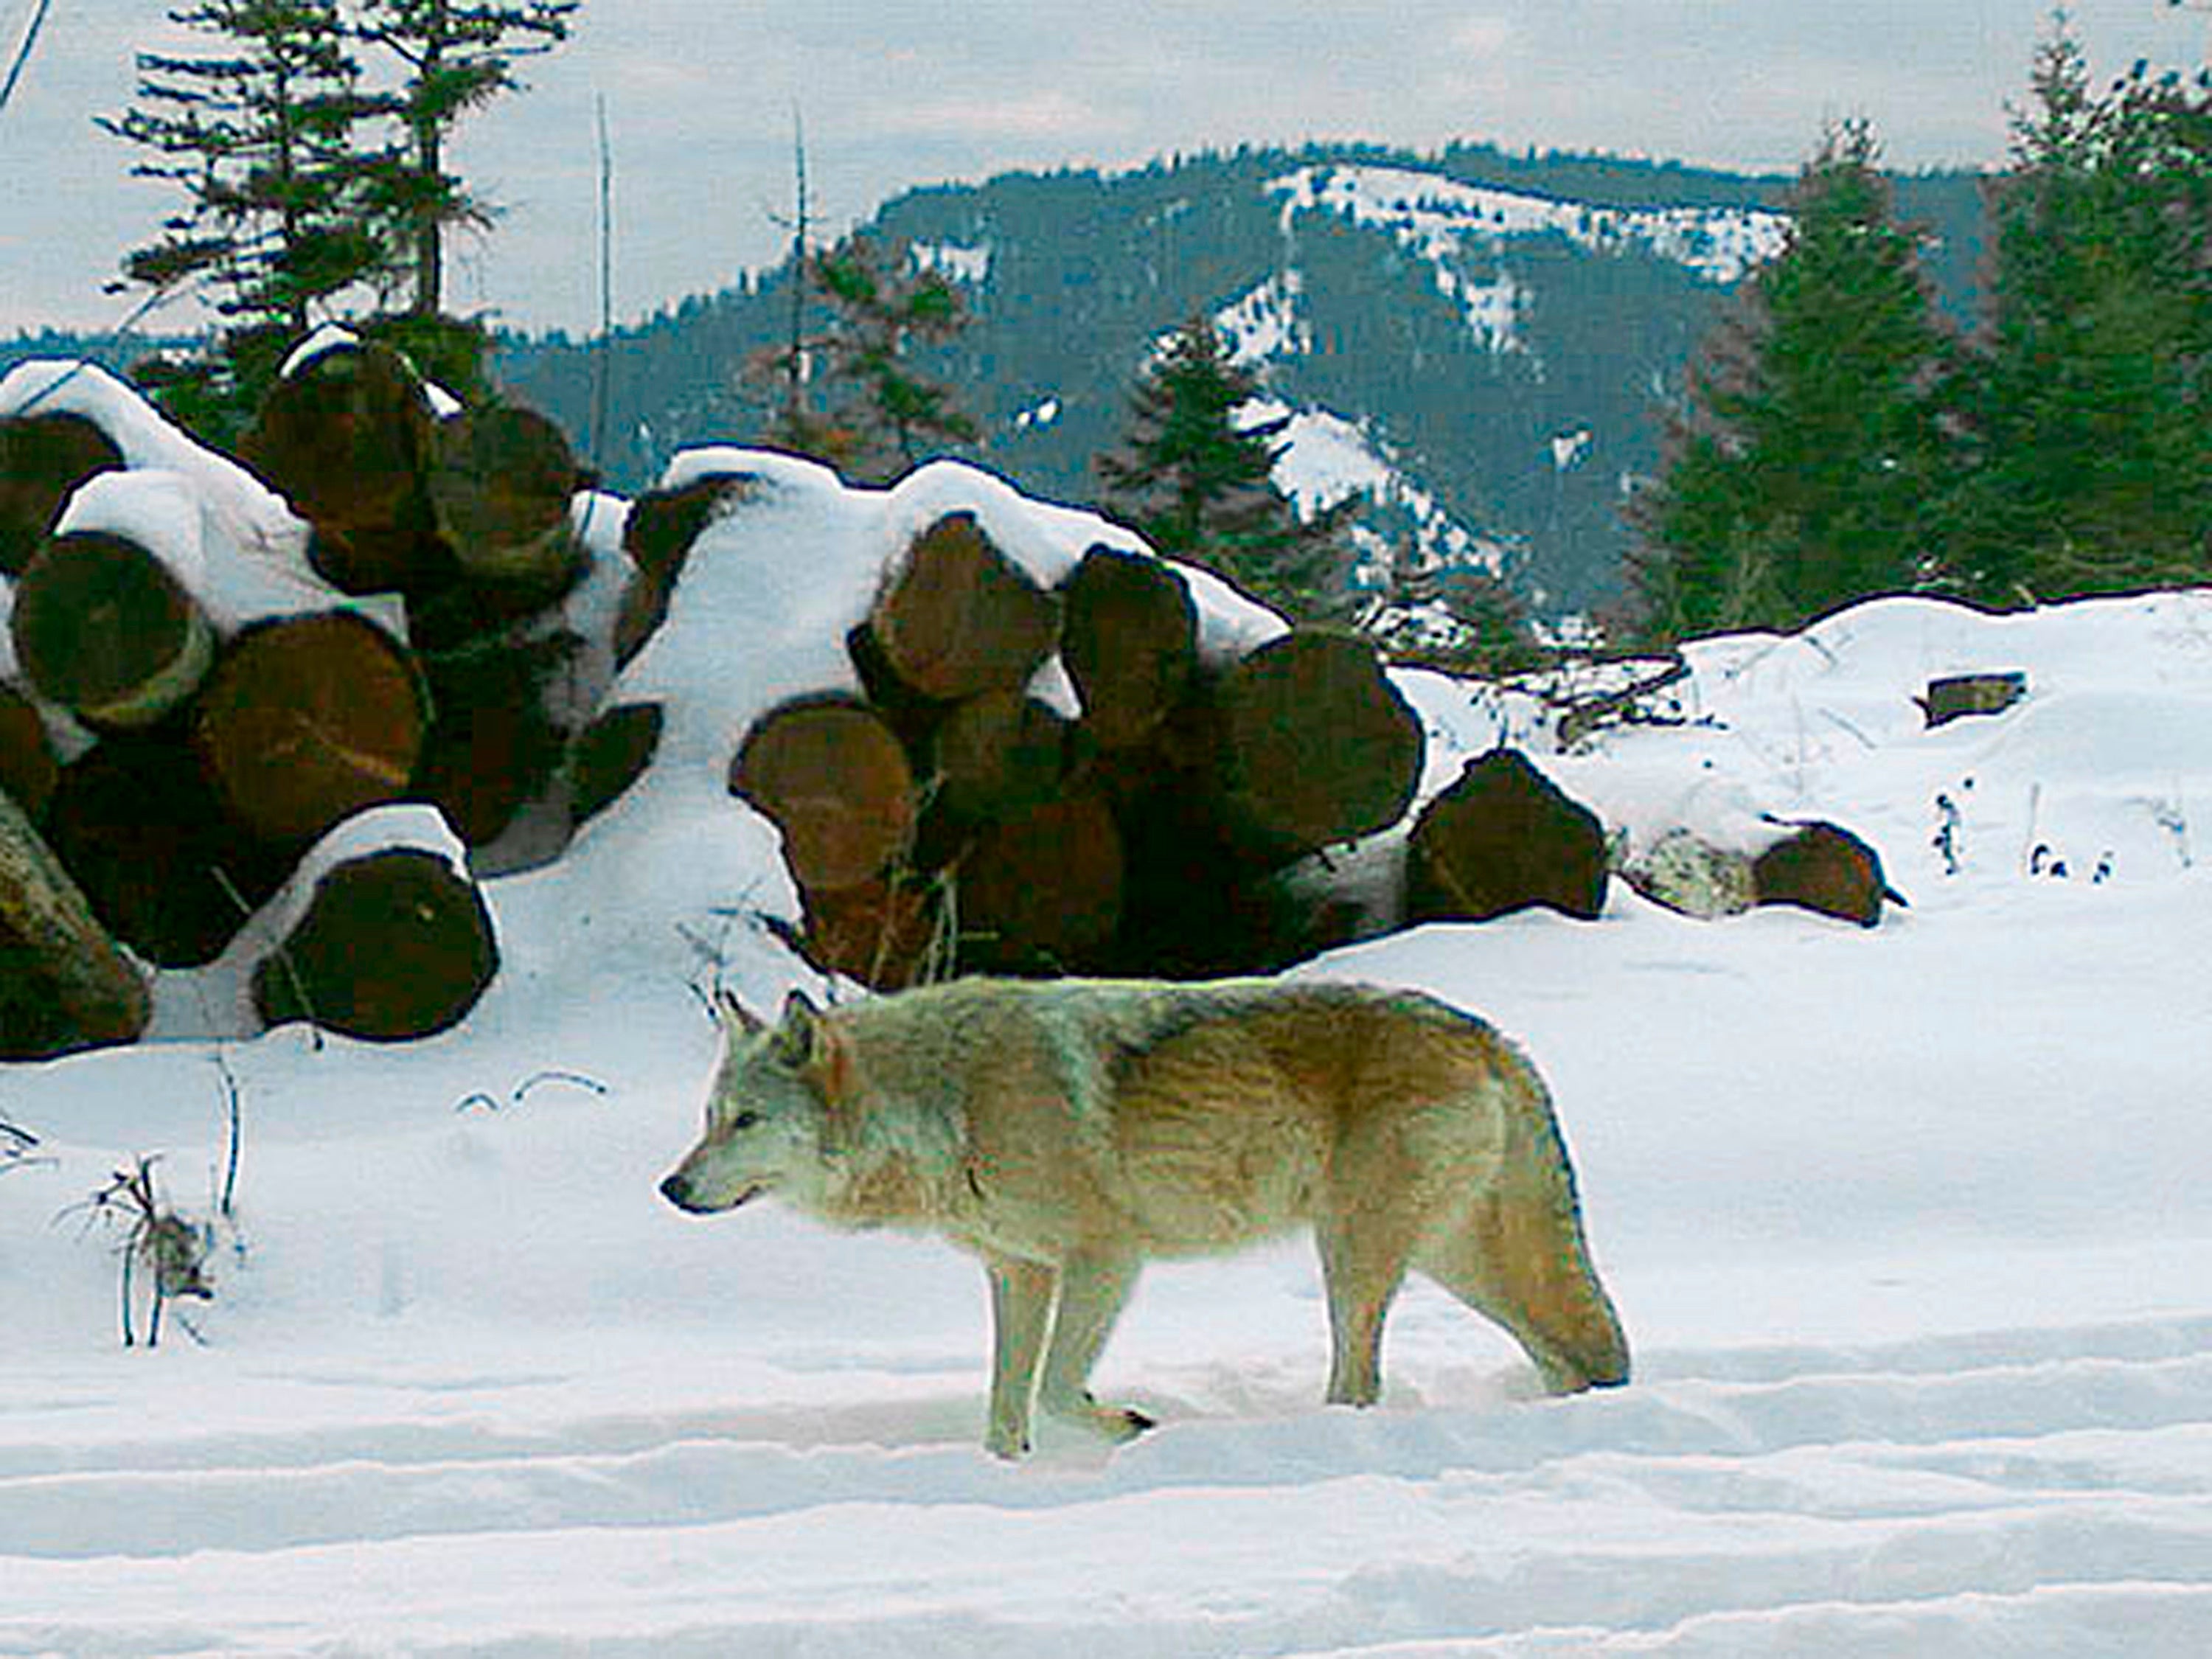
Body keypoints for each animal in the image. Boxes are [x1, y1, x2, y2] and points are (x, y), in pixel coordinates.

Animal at [659, 976, 1629, 1458]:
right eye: (709, 1118)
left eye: (746, 1121)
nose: (671, 1187)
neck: (950, 1101)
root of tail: (1488, 1035)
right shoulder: (1018, 1272)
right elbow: (1005, 1411)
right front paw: (1009, 1479)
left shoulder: (1106, 1259)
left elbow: (1055, 1390)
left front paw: (1130, 1425)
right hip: (1451, 1261)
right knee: (1568, 1356)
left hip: (1356, 1258)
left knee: (1361, 1383)